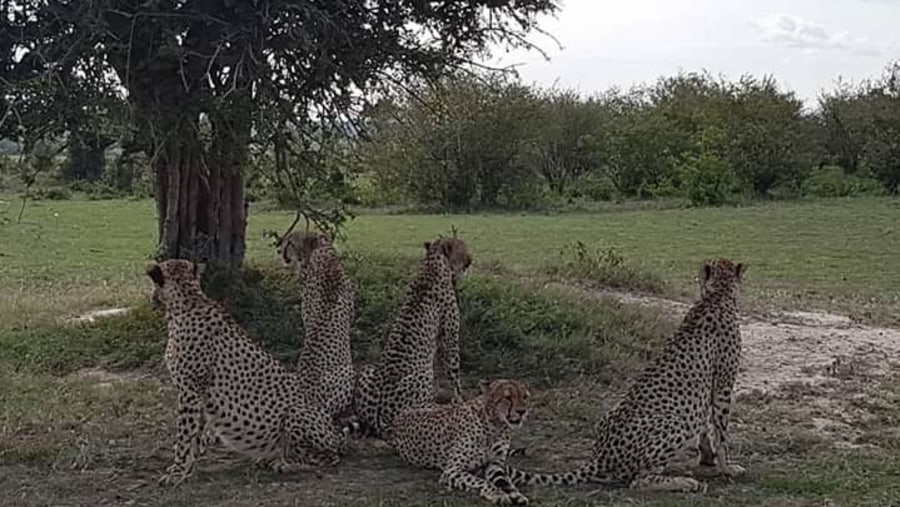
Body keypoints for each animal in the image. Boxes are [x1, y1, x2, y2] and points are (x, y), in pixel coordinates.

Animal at [146, 260, 346, 486]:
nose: (151, 297)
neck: (188, 302)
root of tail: (335, 434)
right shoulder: (200, 395)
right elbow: (195, 435)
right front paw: (187, 469)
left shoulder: (189, 390)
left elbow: (184, 435)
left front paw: (177, 471)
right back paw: (269, 459)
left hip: (296, 414)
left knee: (328, 458)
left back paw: (286, 464)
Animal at [352, 238, 472, 440]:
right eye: (462, 247)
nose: (470, 260)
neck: (432, 264)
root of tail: (380, 420)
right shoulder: (450, 337)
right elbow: (454, 372)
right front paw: (460, 399)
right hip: (423, 376)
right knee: (426, 408)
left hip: (368, 370)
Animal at [390, 380, 532, 506]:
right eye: (507, 397)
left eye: (525, 397)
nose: (522, 411)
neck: (496, 426)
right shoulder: (452, 470)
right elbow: (481, 482)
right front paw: (498, 494)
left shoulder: (494, 466)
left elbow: (506, 483)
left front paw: (517, 495)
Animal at [510, 260, 748, 494]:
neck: (717, 296)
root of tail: (600, 456)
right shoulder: (723, 384)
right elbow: (721, 431)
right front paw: (726, 468)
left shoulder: (709, 388)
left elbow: (707, 424)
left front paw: (708, 459)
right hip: (676, 421)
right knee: (638, 480)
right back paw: (685, 482)